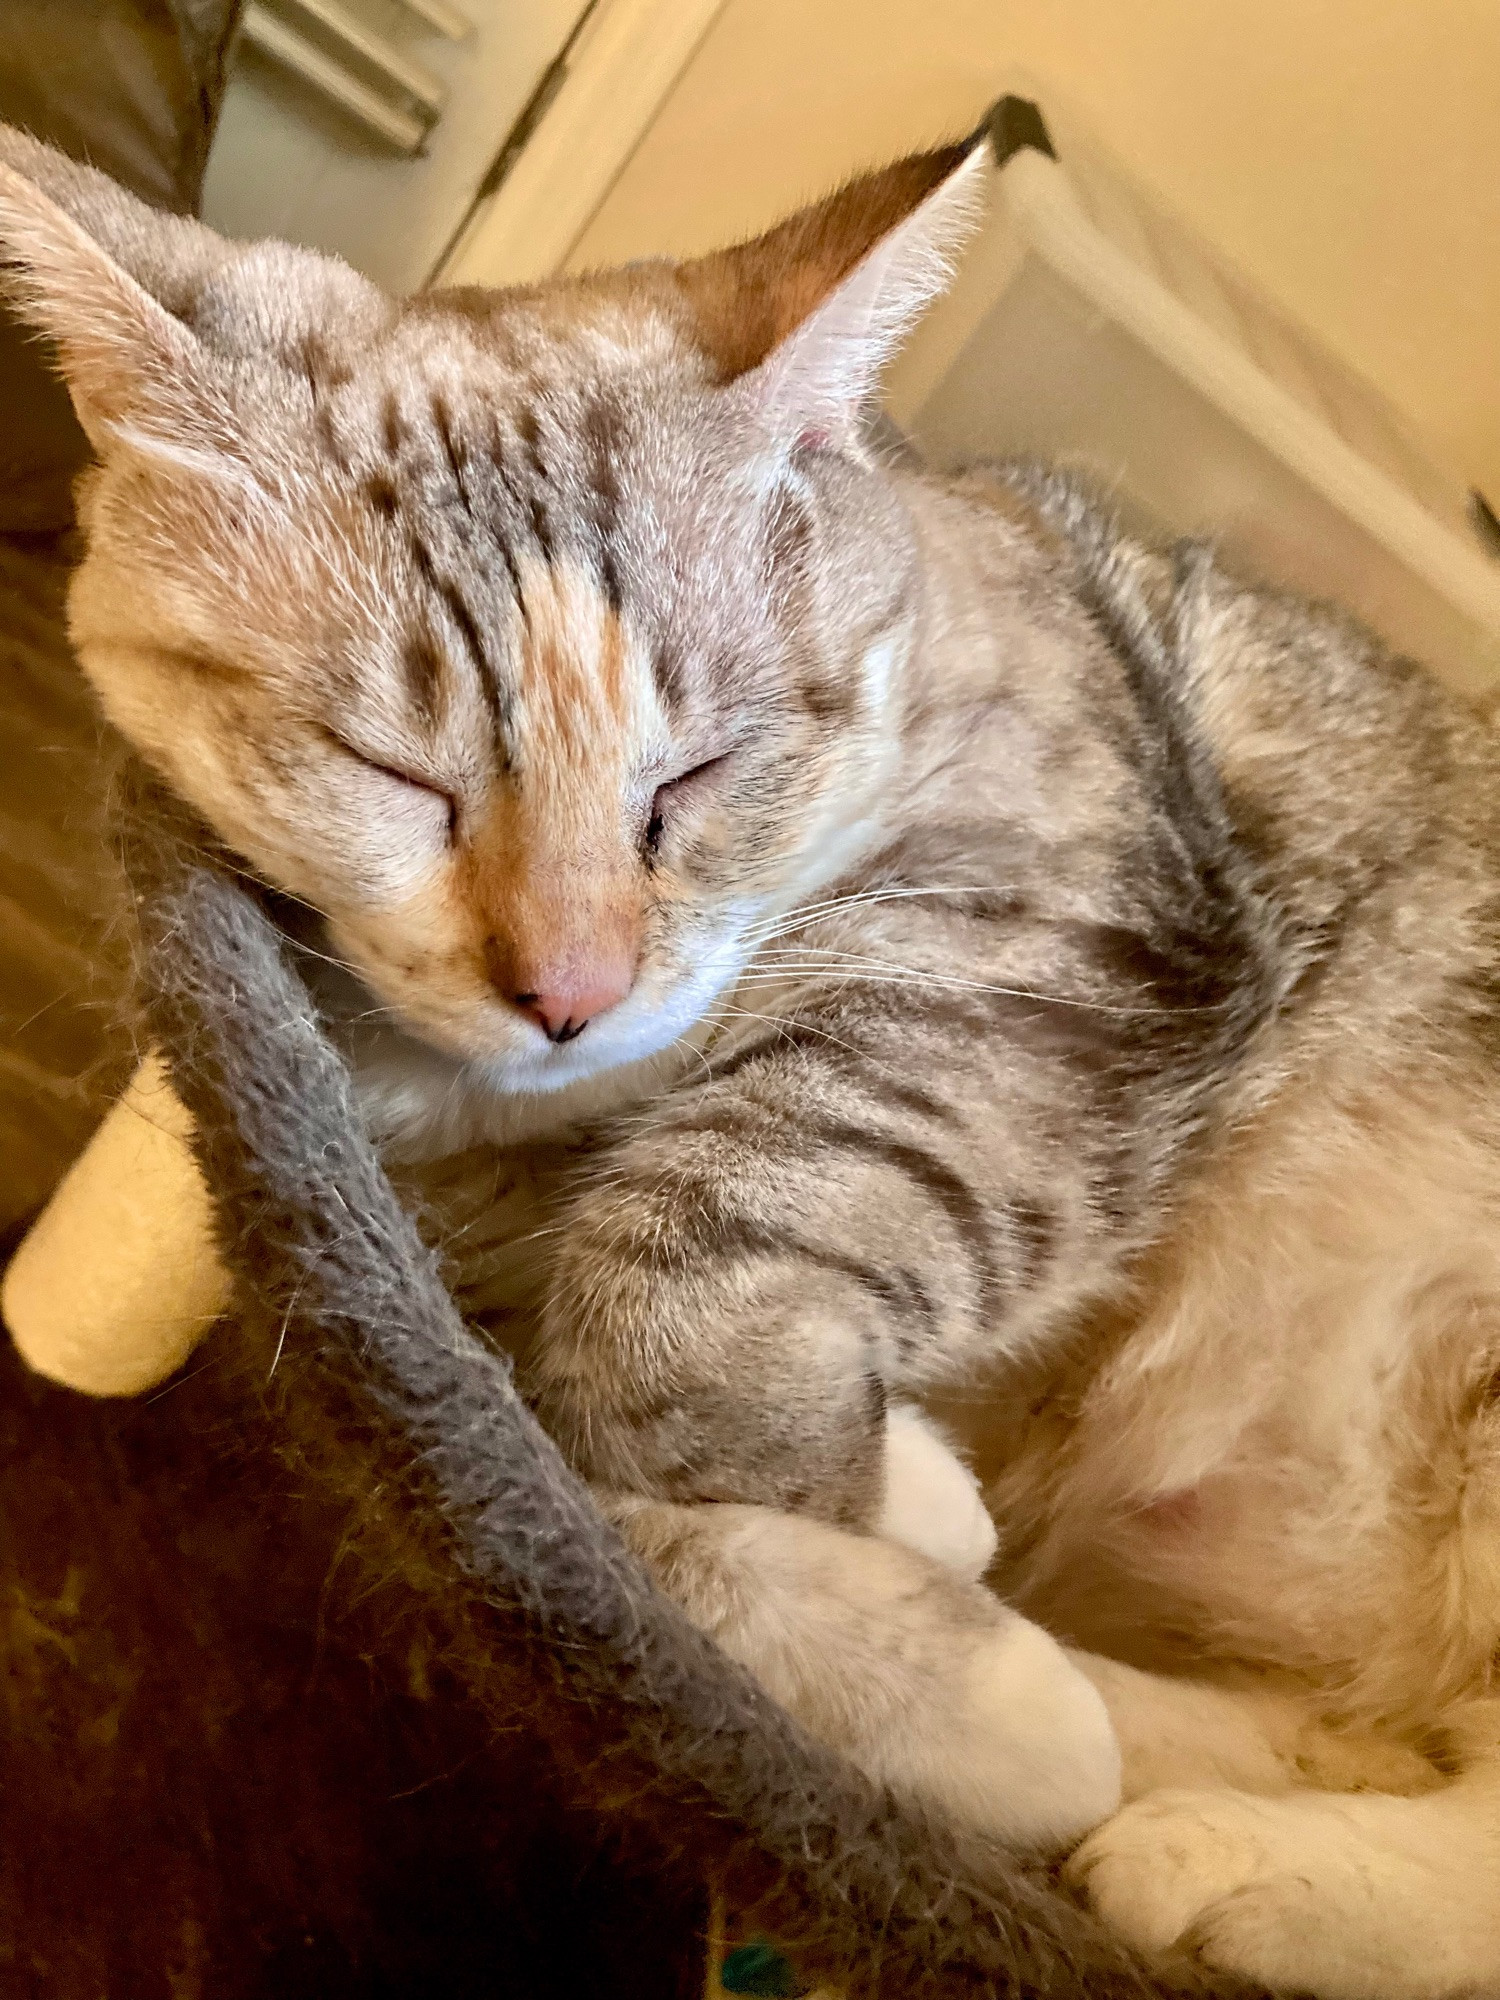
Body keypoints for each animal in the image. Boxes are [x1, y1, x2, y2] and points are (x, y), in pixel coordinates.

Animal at [2, 129, 1500, 2000]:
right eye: (397, 778)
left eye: (697, 775)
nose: (569, 989)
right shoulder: (388, 1248)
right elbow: (588, 1476)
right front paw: (940, 1602)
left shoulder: (1060, 949)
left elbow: (677, 1305)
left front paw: (906, 1549)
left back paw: (1218, 1857)